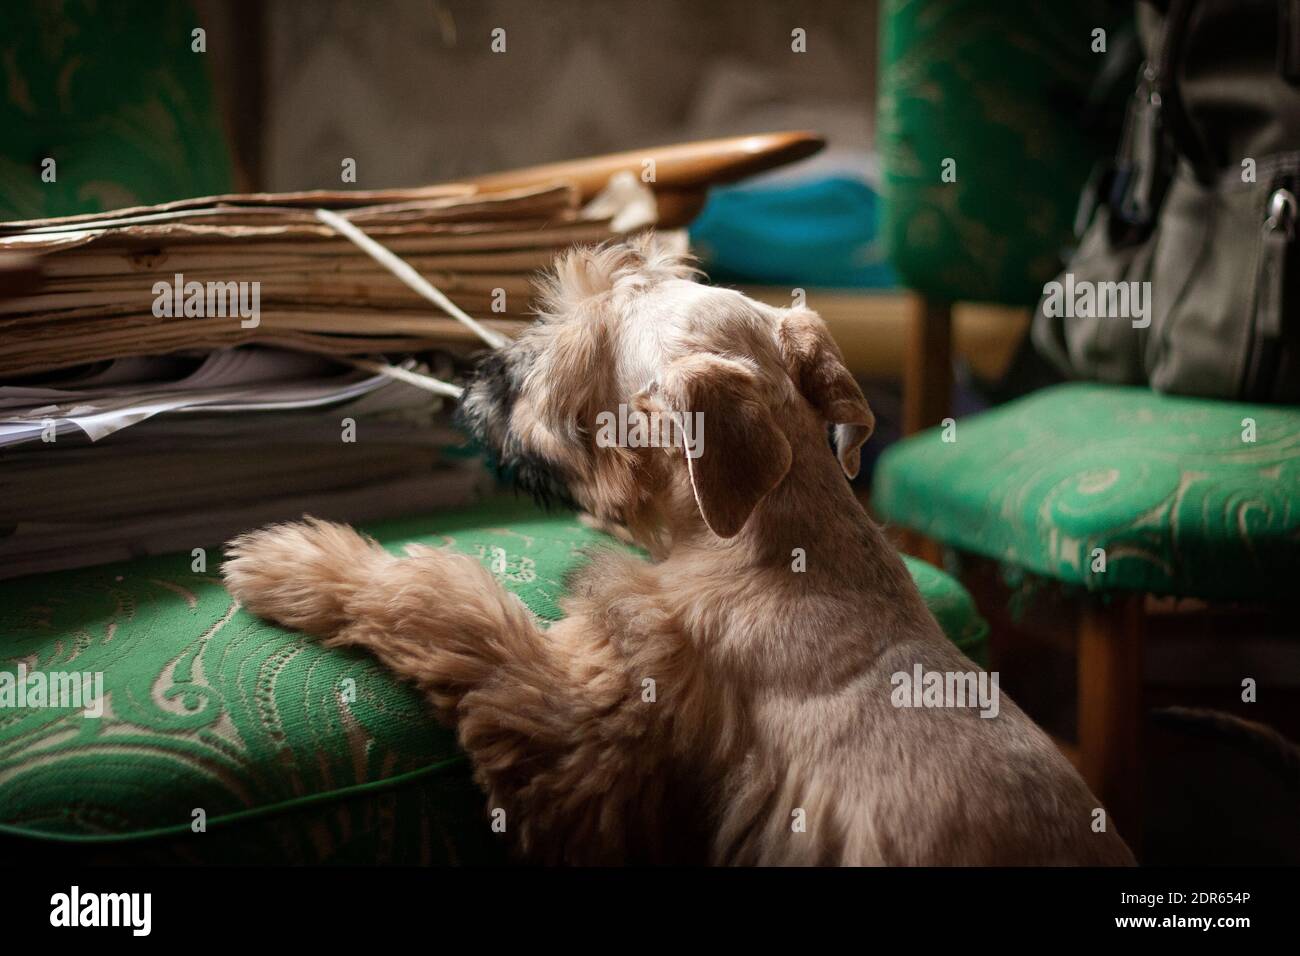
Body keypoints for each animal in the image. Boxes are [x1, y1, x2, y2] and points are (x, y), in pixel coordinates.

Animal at [223, 234, 1138, 868]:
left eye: (563, 355)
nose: (478, 371)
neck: (765, 540)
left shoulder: (585, 724)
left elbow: (448, 599)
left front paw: (302, 564)